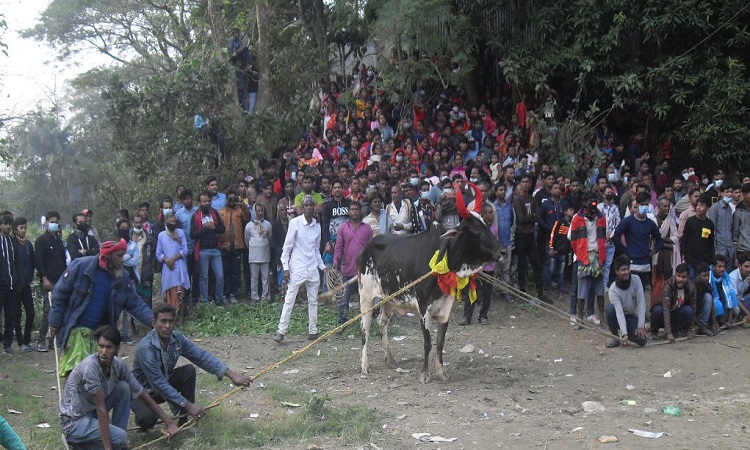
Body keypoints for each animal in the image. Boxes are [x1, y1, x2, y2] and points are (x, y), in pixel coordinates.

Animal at [358, 183, 506, 384]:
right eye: (476, 230)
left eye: (487, 224)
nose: (502, 251)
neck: (444, 258)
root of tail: (367, 247)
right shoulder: (423, 308)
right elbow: (427, 342)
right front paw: (424, 374)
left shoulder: (446, 306)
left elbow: (440, 341)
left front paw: (441, 371)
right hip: (366, 296)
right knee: (364, 328)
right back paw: (365, 365)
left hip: (388, 299)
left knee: (382, 323)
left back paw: (390, 360)